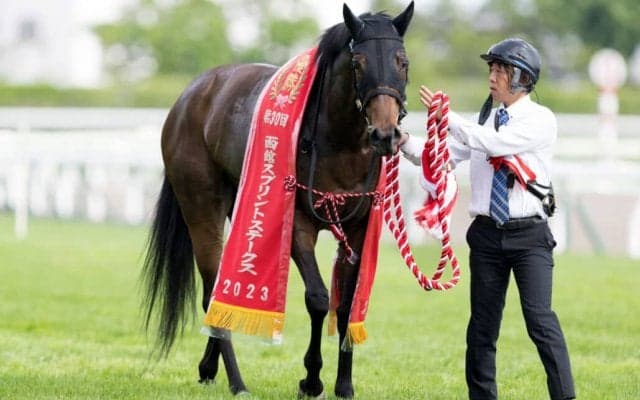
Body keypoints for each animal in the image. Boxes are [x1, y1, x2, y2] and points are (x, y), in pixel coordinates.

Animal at [142, 2, 414, 398]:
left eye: (402, 61)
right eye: (358, 62)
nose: (385, 134)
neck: (339, 142)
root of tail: (189, 97)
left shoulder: (359, 227)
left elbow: (347, 305)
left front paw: (344, 384)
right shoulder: (298, 223)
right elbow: (318, 299)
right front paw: (311, 380)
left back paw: (209, 367)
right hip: (201, 205)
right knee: (211, 291)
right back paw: (237, 382)